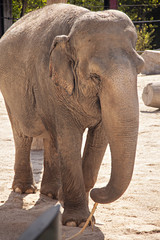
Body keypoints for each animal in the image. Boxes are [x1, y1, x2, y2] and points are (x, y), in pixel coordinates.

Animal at [0, 2, 144, 226]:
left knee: (51, 137)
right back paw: (24, 189)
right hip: (10, 93)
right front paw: (74, 222)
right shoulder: (51, 82)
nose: (96, 191)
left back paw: (50, 194)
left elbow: (99, 139)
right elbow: (69, 139)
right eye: (95, 76)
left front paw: (75, 211)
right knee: (23, 134)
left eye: (140, 68)